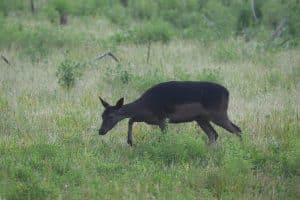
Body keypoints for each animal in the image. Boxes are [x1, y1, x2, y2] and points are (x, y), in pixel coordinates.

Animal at [98, 81, 241, 145]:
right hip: (201, 118)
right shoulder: (148, 119)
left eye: (111, 116)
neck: (145, 105)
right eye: (102, 115)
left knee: (237, 129)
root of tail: (227, 93)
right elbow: (130, 119)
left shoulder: (162, 118)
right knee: (213, 134)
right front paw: (130, 141)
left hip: (218, 113)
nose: (101, 131)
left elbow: (165, 135)